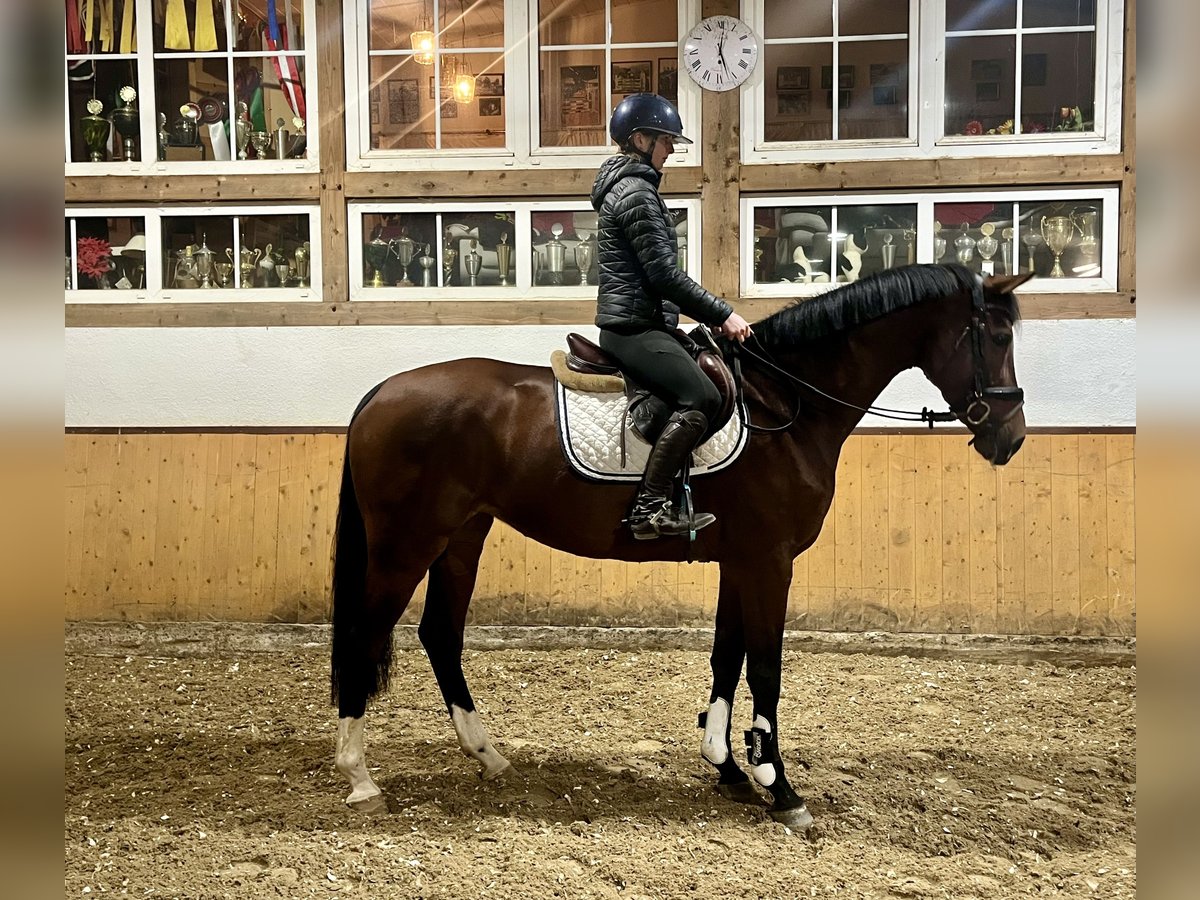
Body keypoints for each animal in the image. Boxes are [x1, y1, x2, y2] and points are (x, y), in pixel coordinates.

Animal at [328, 262, 1032, 830]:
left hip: (460, 538)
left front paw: (728, 768)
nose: (1012, 438)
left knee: (440, 635)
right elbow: (766, 668)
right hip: (405, 544)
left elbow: (727, 657)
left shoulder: (741, 560)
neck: (788, 405)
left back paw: (488, 756)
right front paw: (781, 789)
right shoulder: (769, 560)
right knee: (366, 632)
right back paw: (359, 776)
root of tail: (380, 393)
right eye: (997, 338)